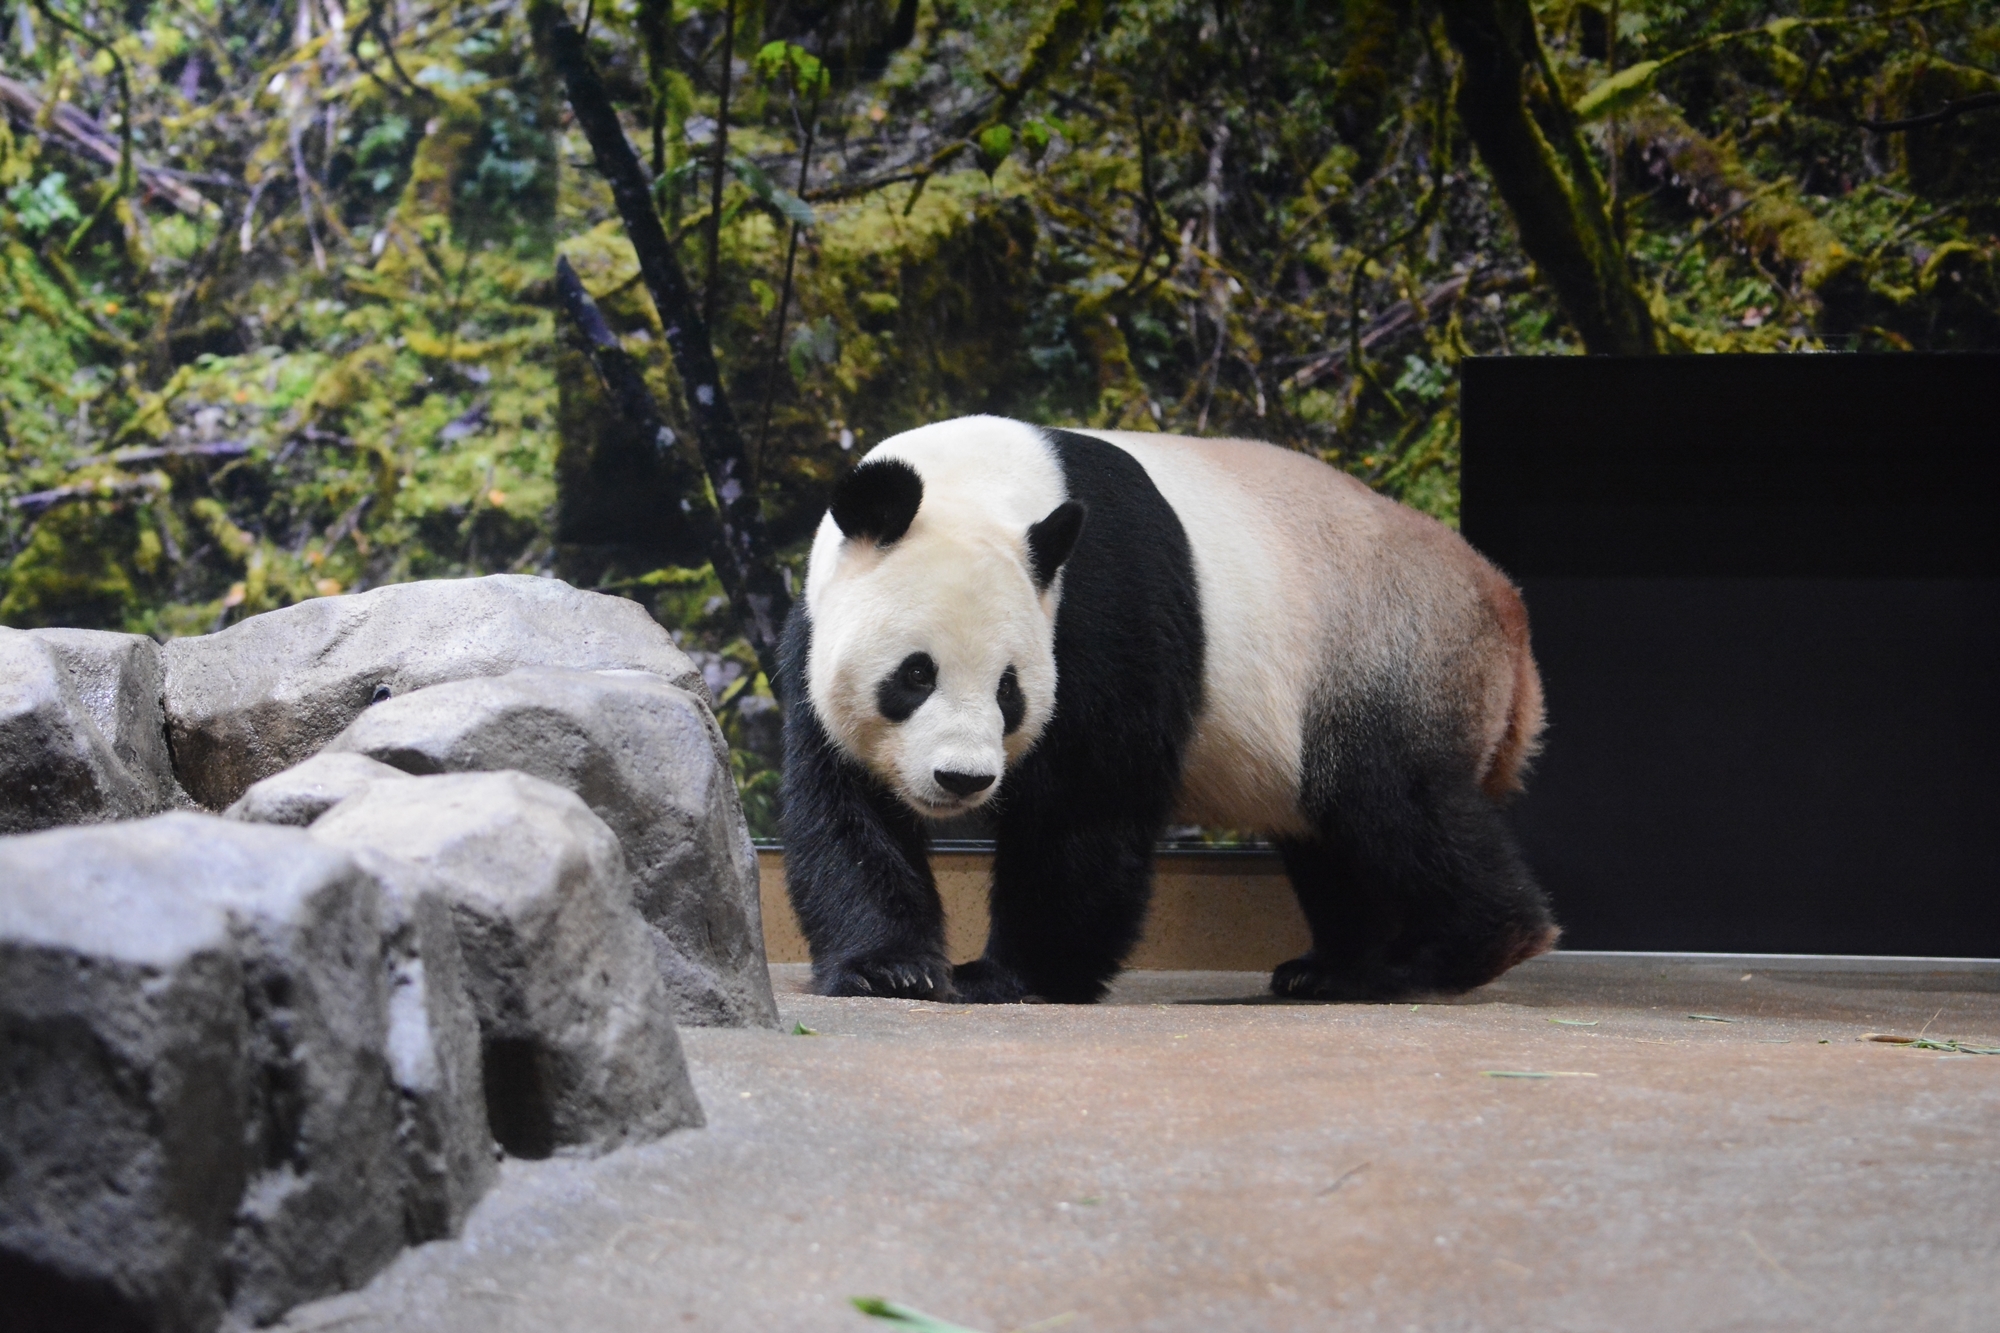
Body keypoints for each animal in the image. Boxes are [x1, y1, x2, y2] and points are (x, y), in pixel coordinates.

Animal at [777, 414, 1557, 1004]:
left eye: (1008, 690)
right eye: (916, 674)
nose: (961, 780)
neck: (978, 484)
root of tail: (1507, 608)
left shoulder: (1102, 602)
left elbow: (1090, 796)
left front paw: (1009, 975)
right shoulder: (817, 629)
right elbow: (846, 805)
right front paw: (890, 968)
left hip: (1388, 650)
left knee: (1394, 802)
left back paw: (1448, 954)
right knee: (1336, 838)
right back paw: (1331, 968)